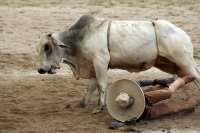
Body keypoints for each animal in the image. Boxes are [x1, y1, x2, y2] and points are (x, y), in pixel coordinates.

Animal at [36, 14, 200, 114]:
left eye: (47, 47)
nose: (40, 70)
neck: (80, 38)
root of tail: (184, 35)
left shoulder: (100, 62)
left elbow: (101, 85)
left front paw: (99, 107)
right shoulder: (93, 65)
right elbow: (91, 86)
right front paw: (82, 103)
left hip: (185, 61)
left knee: (197, 77)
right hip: (176, 66)